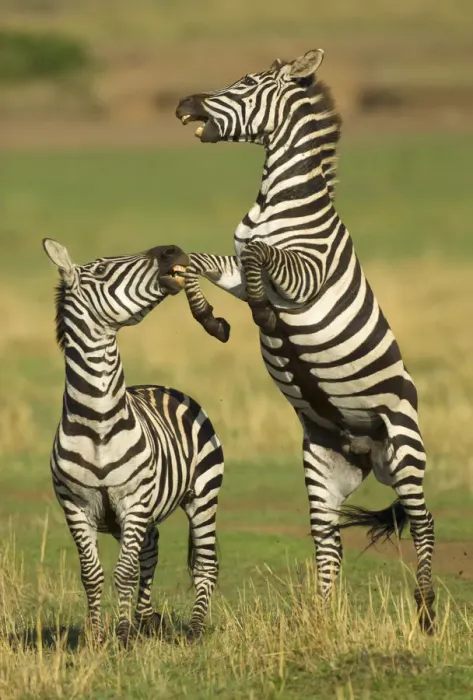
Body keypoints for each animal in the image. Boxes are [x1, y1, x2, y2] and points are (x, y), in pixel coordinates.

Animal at [43, 238, 224, 645]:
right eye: (101, 269)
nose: (172, 250)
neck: (97, 422)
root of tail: (161, 387)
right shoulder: (76, 507)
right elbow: (92, 575)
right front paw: (97, 636)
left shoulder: (134, 500)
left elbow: (123, 572)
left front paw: (123, 635)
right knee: (150, 552)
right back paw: (145, 619)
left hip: (203, 496)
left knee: (205, 565)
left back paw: (194, 628)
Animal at [175, 48, 435, 631]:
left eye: (246, 84)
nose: (182, 103)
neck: (279, 203)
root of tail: (368, 449)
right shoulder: (231, 265)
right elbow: (195, 263)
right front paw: (211, 321)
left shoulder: (303, 273)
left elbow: (257, 258)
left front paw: (265, 317)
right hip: (322, 463)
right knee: (327, 538)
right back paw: (322, 616)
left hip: (406, 444)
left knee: (424, 520)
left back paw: (427, 613)